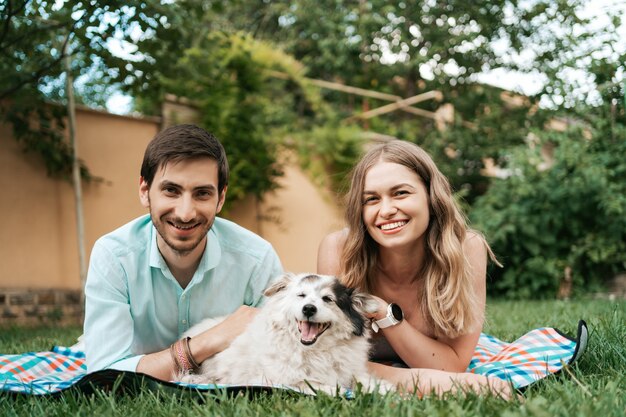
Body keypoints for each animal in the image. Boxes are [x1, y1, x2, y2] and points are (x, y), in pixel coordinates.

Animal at [176, 272, 390, 394]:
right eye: (301, 295)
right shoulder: (275, 379)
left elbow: (361, 379)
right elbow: (315, 384)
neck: (315, 351)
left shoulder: (349, 370)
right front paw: (336, 390)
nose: (309, 309)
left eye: (328, 299)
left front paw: (382, 389)